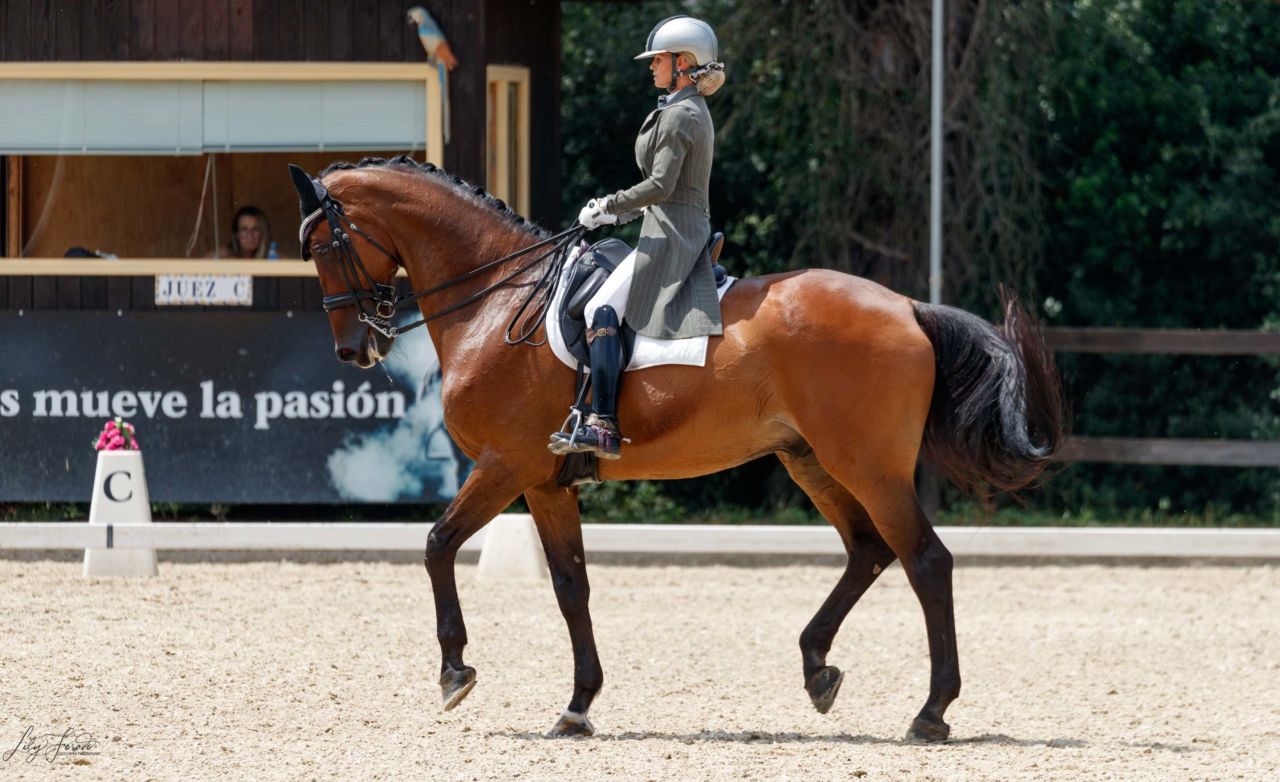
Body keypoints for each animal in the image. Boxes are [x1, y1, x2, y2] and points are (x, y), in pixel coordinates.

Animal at [294, 156, 1064, 742]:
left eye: (324, 248)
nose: (353, 349)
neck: (494, 296)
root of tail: (906, 306)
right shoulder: (545, 481)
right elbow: (571, 585)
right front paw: (577, 706)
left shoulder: (505, 466)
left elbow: (436, 545)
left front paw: (455, 672)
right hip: (812, 461)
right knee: (869, 551)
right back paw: (818, 668)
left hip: (869, 467)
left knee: (925, 561)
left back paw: (930, 712)